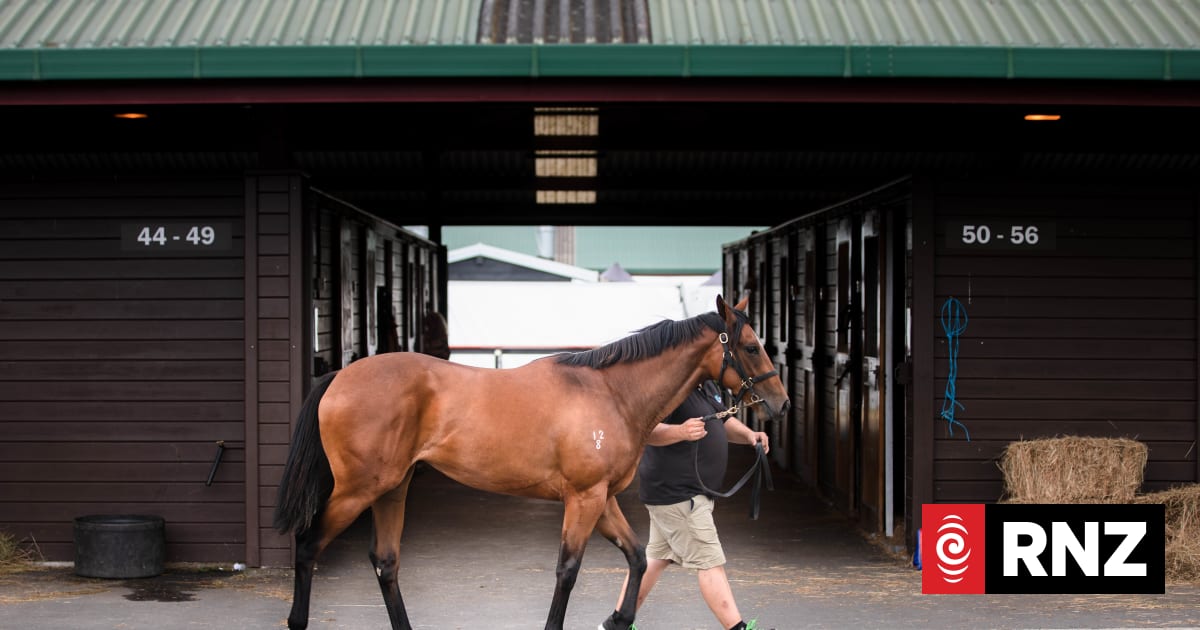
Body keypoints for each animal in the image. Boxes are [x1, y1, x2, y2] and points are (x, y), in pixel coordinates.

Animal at [272, 294, 790, 630]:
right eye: (750, 346)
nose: (781, 404)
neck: (610, 392)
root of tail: (341, 378)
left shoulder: (602, 500)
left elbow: (638, 557)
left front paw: (620, 619)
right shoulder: (583, 500)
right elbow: (568, 571)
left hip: (392, 489)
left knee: (385, 561)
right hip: (357, 491)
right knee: (308, 546)